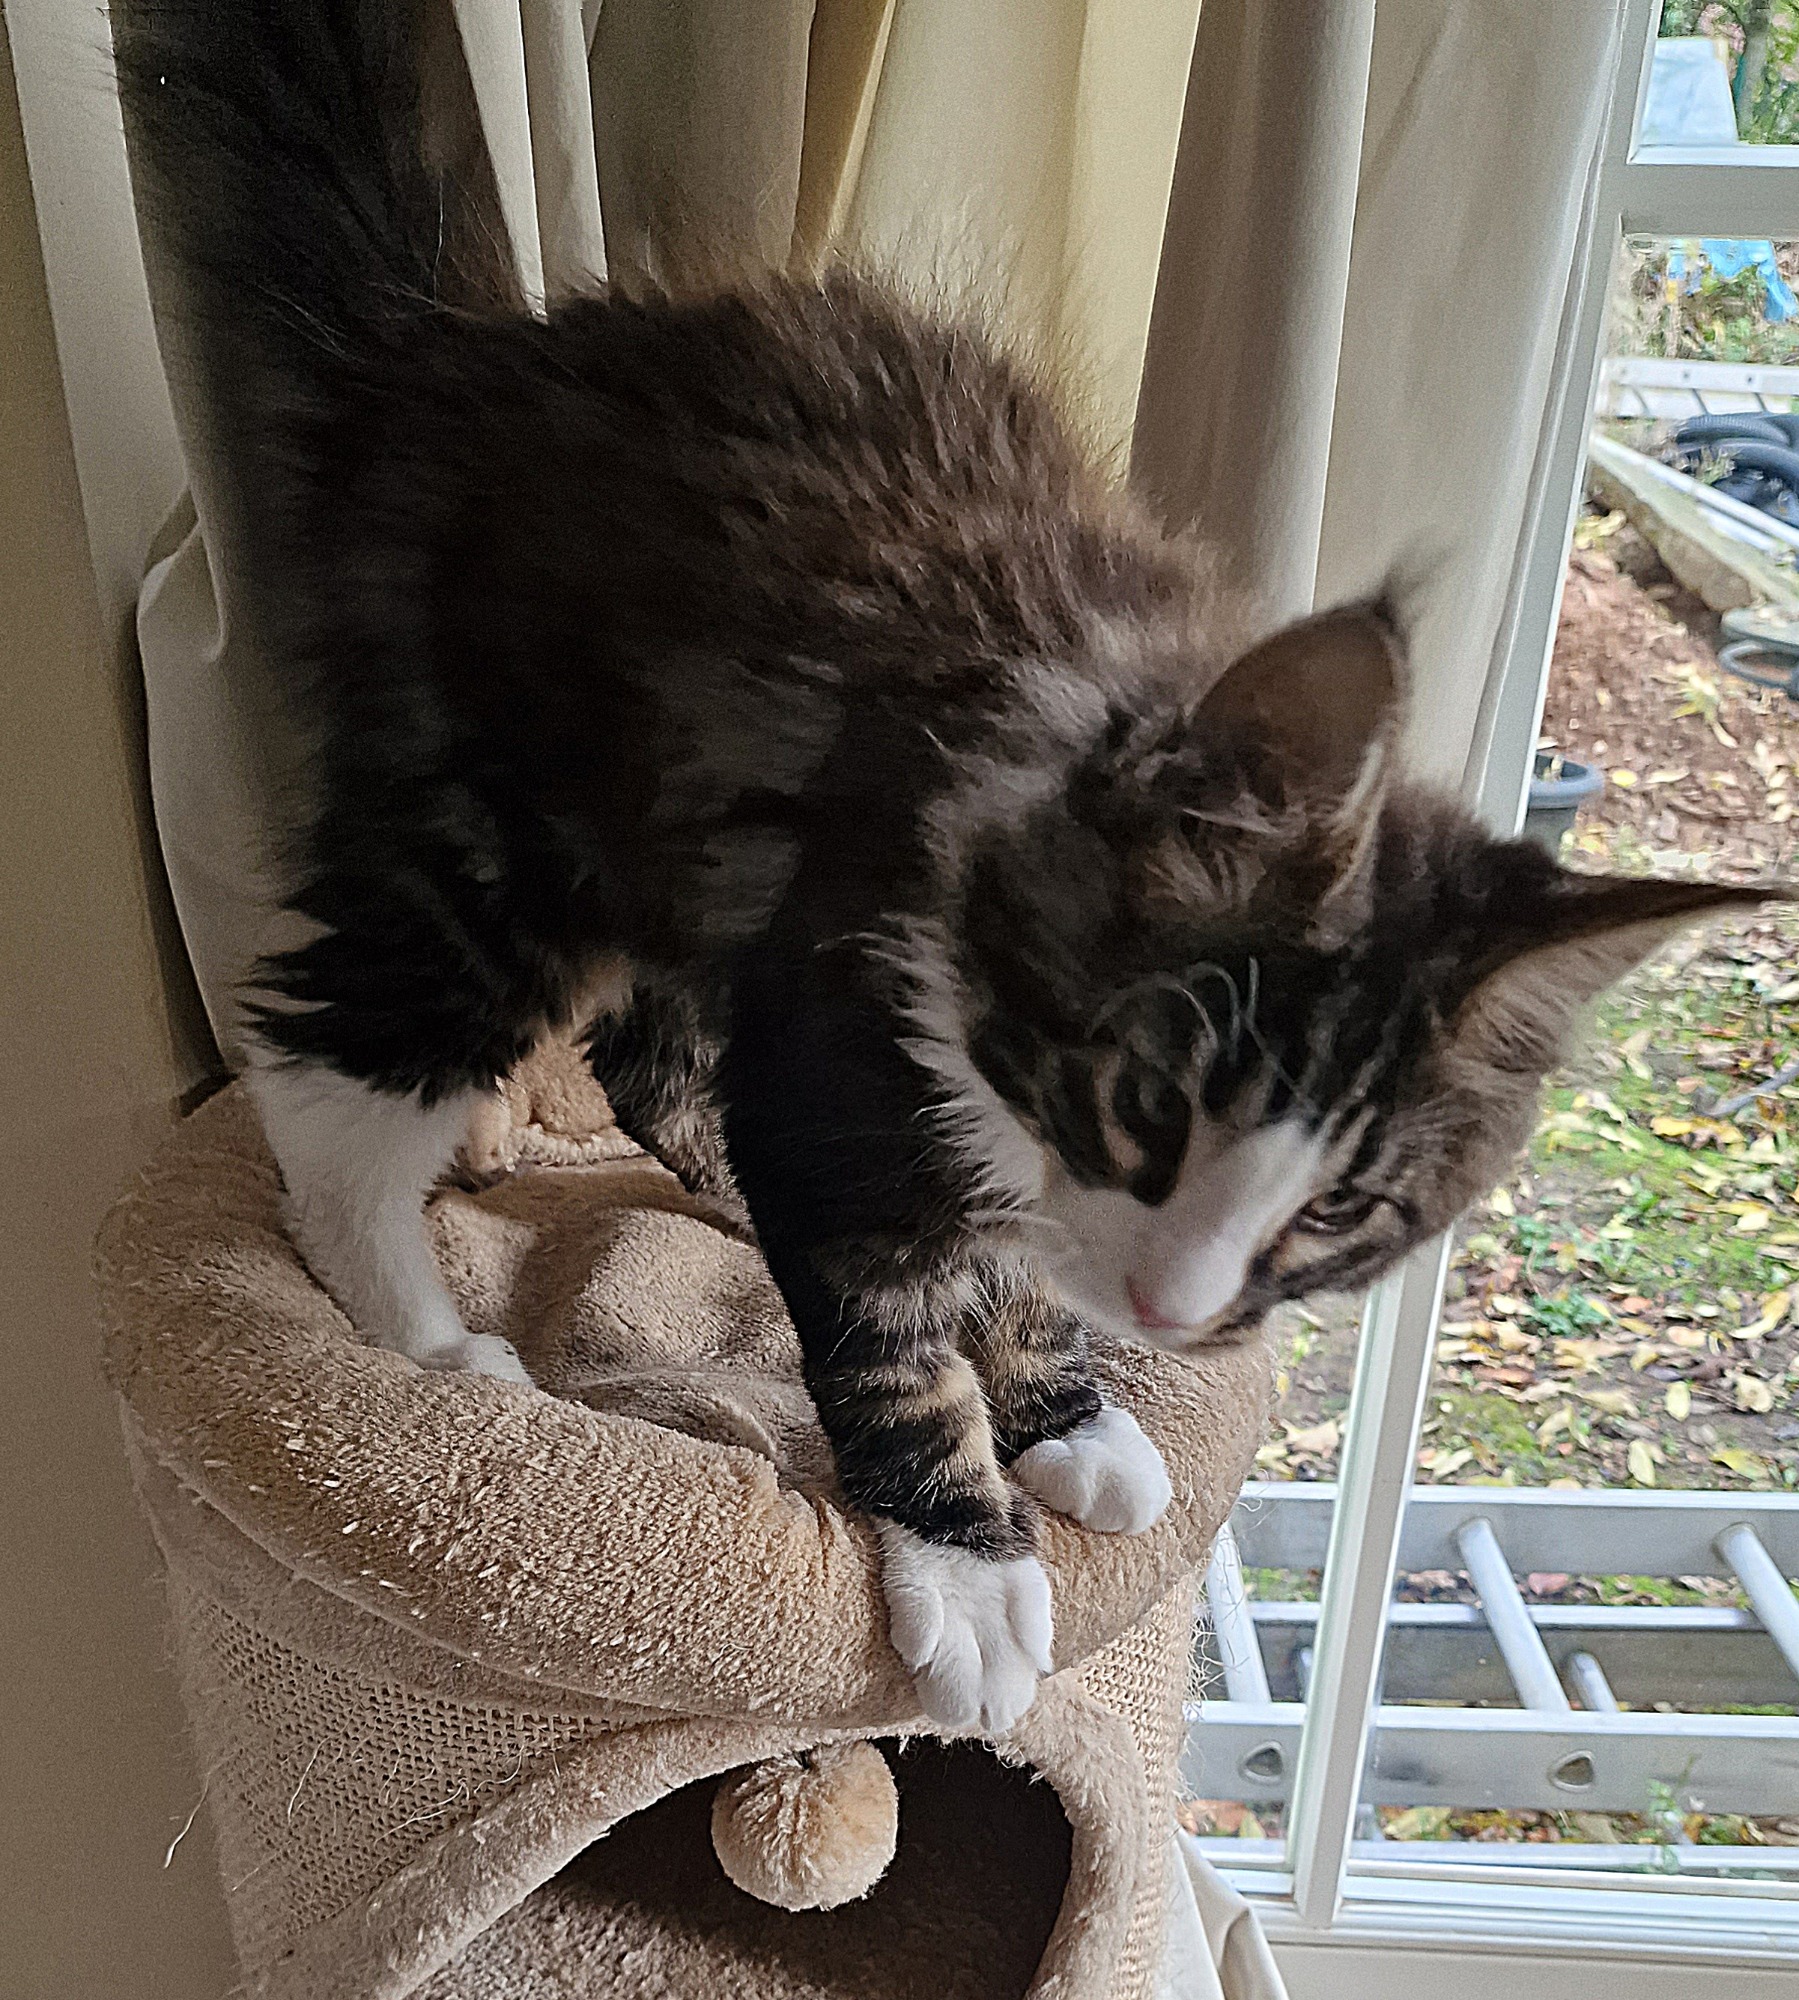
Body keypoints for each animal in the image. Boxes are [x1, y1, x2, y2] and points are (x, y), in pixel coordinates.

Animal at [114, 1, 1778, 1734]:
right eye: (1148, 1104)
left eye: (1338, 1207)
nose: (1173, 1312)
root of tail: (459, 353)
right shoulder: (841, 1026)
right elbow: (887, 1344)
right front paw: (970, 1563)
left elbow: (1014, 1268)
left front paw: (1064, 1412)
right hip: (493, 847)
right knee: (325, 1080)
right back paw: (424, 1340)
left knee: (642, 1058)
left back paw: (721, 1201)